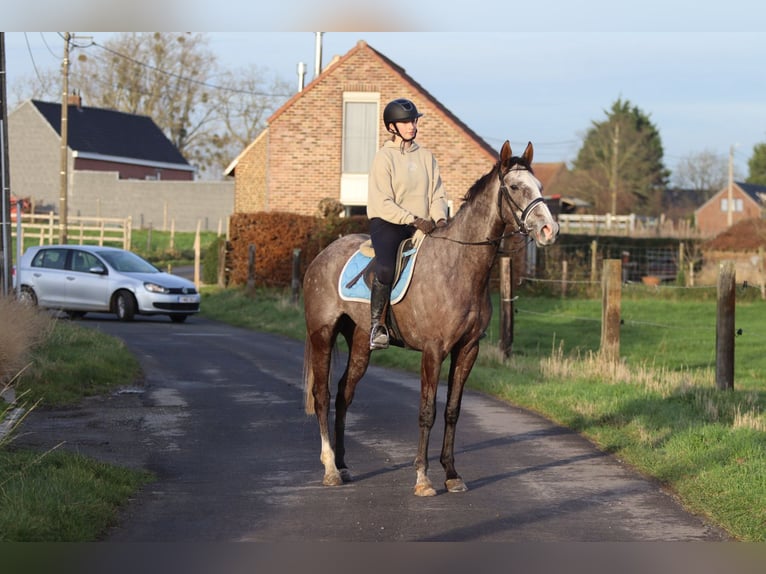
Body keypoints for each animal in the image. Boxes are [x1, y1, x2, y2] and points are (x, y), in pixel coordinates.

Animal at [302, 140, 559, 496]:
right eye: (514, 187)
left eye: (540, 187)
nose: (550, 230)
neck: (460, 266)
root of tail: (321, 255)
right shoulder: (433, 351)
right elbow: (427, 411)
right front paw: (423, 478)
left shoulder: (467, 350)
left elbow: (452, 410)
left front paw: (451, 473)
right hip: (322, 334)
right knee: (322, 395)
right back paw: (329, 469)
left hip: (361, 342)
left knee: (343, 394)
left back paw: (342, 464)